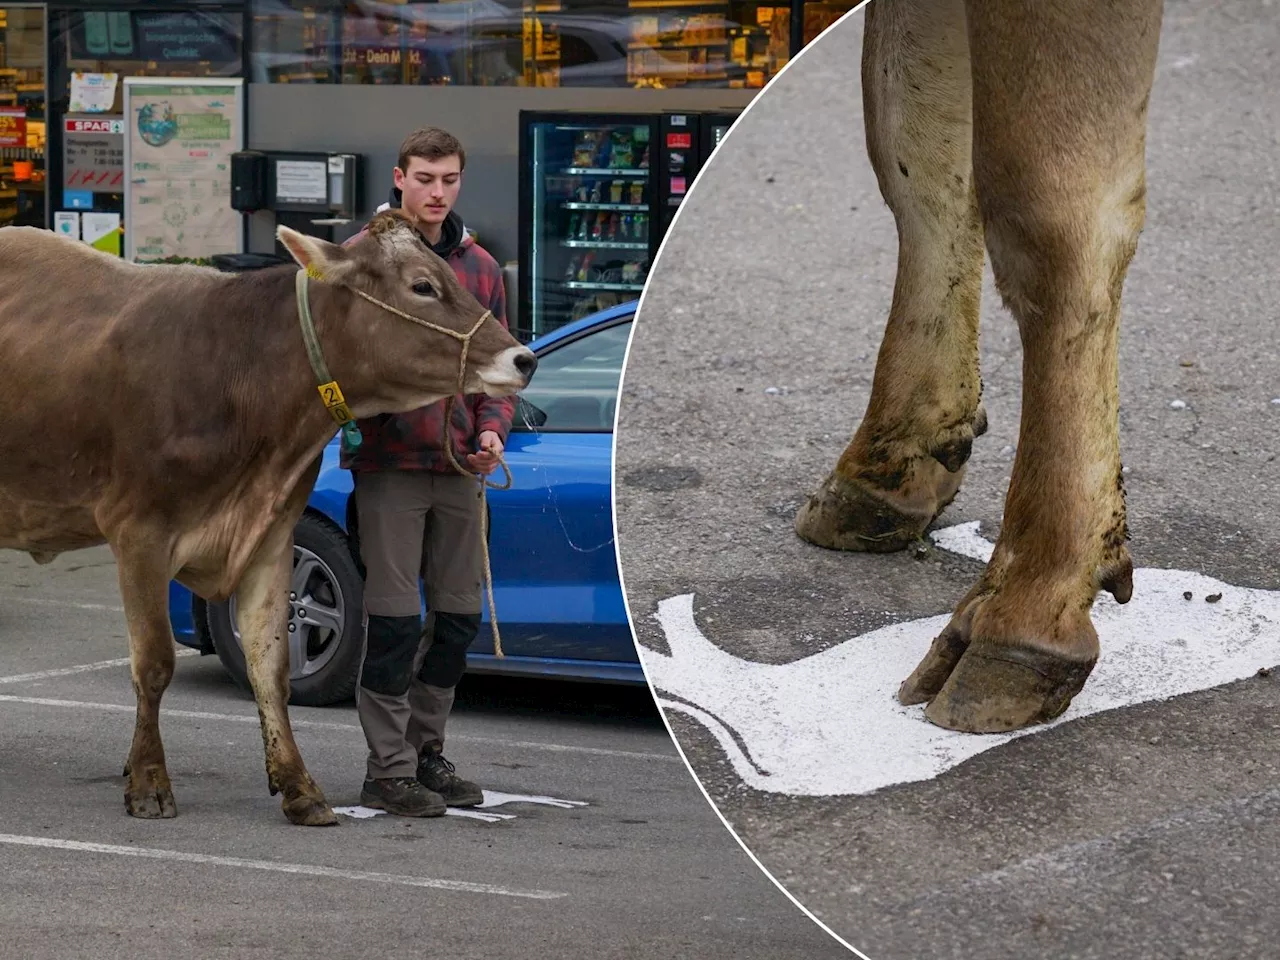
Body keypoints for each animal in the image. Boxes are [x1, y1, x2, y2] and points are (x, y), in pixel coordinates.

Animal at [0, 212, 535, 829]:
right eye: (422, 285)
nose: (524, 359)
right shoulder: (140, 531)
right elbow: (155, 663)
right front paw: (150, 782)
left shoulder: (272, 537)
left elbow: (271, 665)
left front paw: (299, 785)